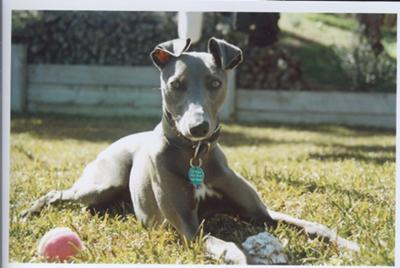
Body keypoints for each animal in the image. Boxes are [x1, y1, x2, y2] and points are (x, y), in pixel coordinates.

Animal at [21, 37, 360, 264]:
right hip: (102, 182)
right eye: (176, 83)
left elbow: (311, 225)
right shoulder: (188, 226)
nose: (198, 128)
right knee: (56, 193)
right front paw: (240, 255)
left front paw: (350, 245)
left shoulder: (261, 214)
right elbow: (218, 241)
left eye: (215, 82)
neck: (195, 155)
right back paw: (28, 212)